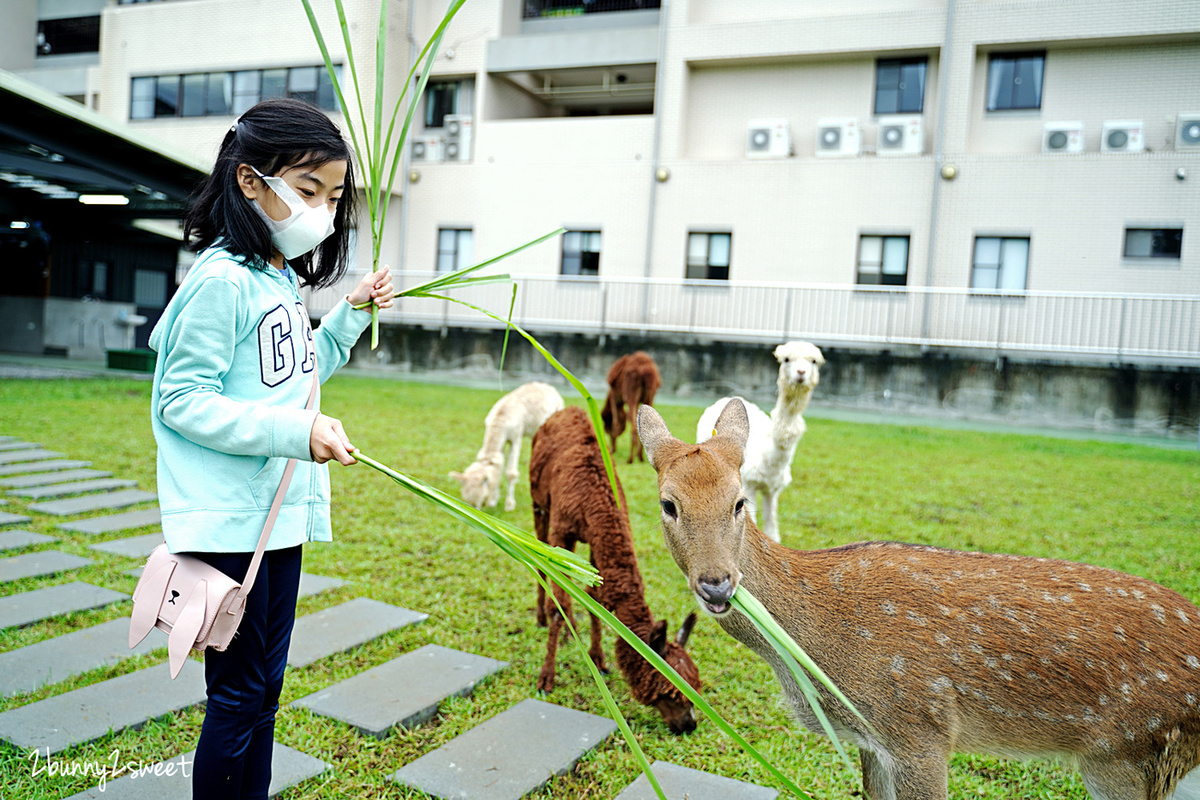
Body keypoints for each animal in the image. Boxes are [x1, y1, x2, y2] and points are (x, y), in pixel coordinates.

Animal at [643, 400, 1200, 800]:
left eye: (740, 501)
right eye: (668, 504)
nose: (718, 584)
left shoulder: (921, 729)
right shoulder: (872, 740)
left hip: (1128, 752)